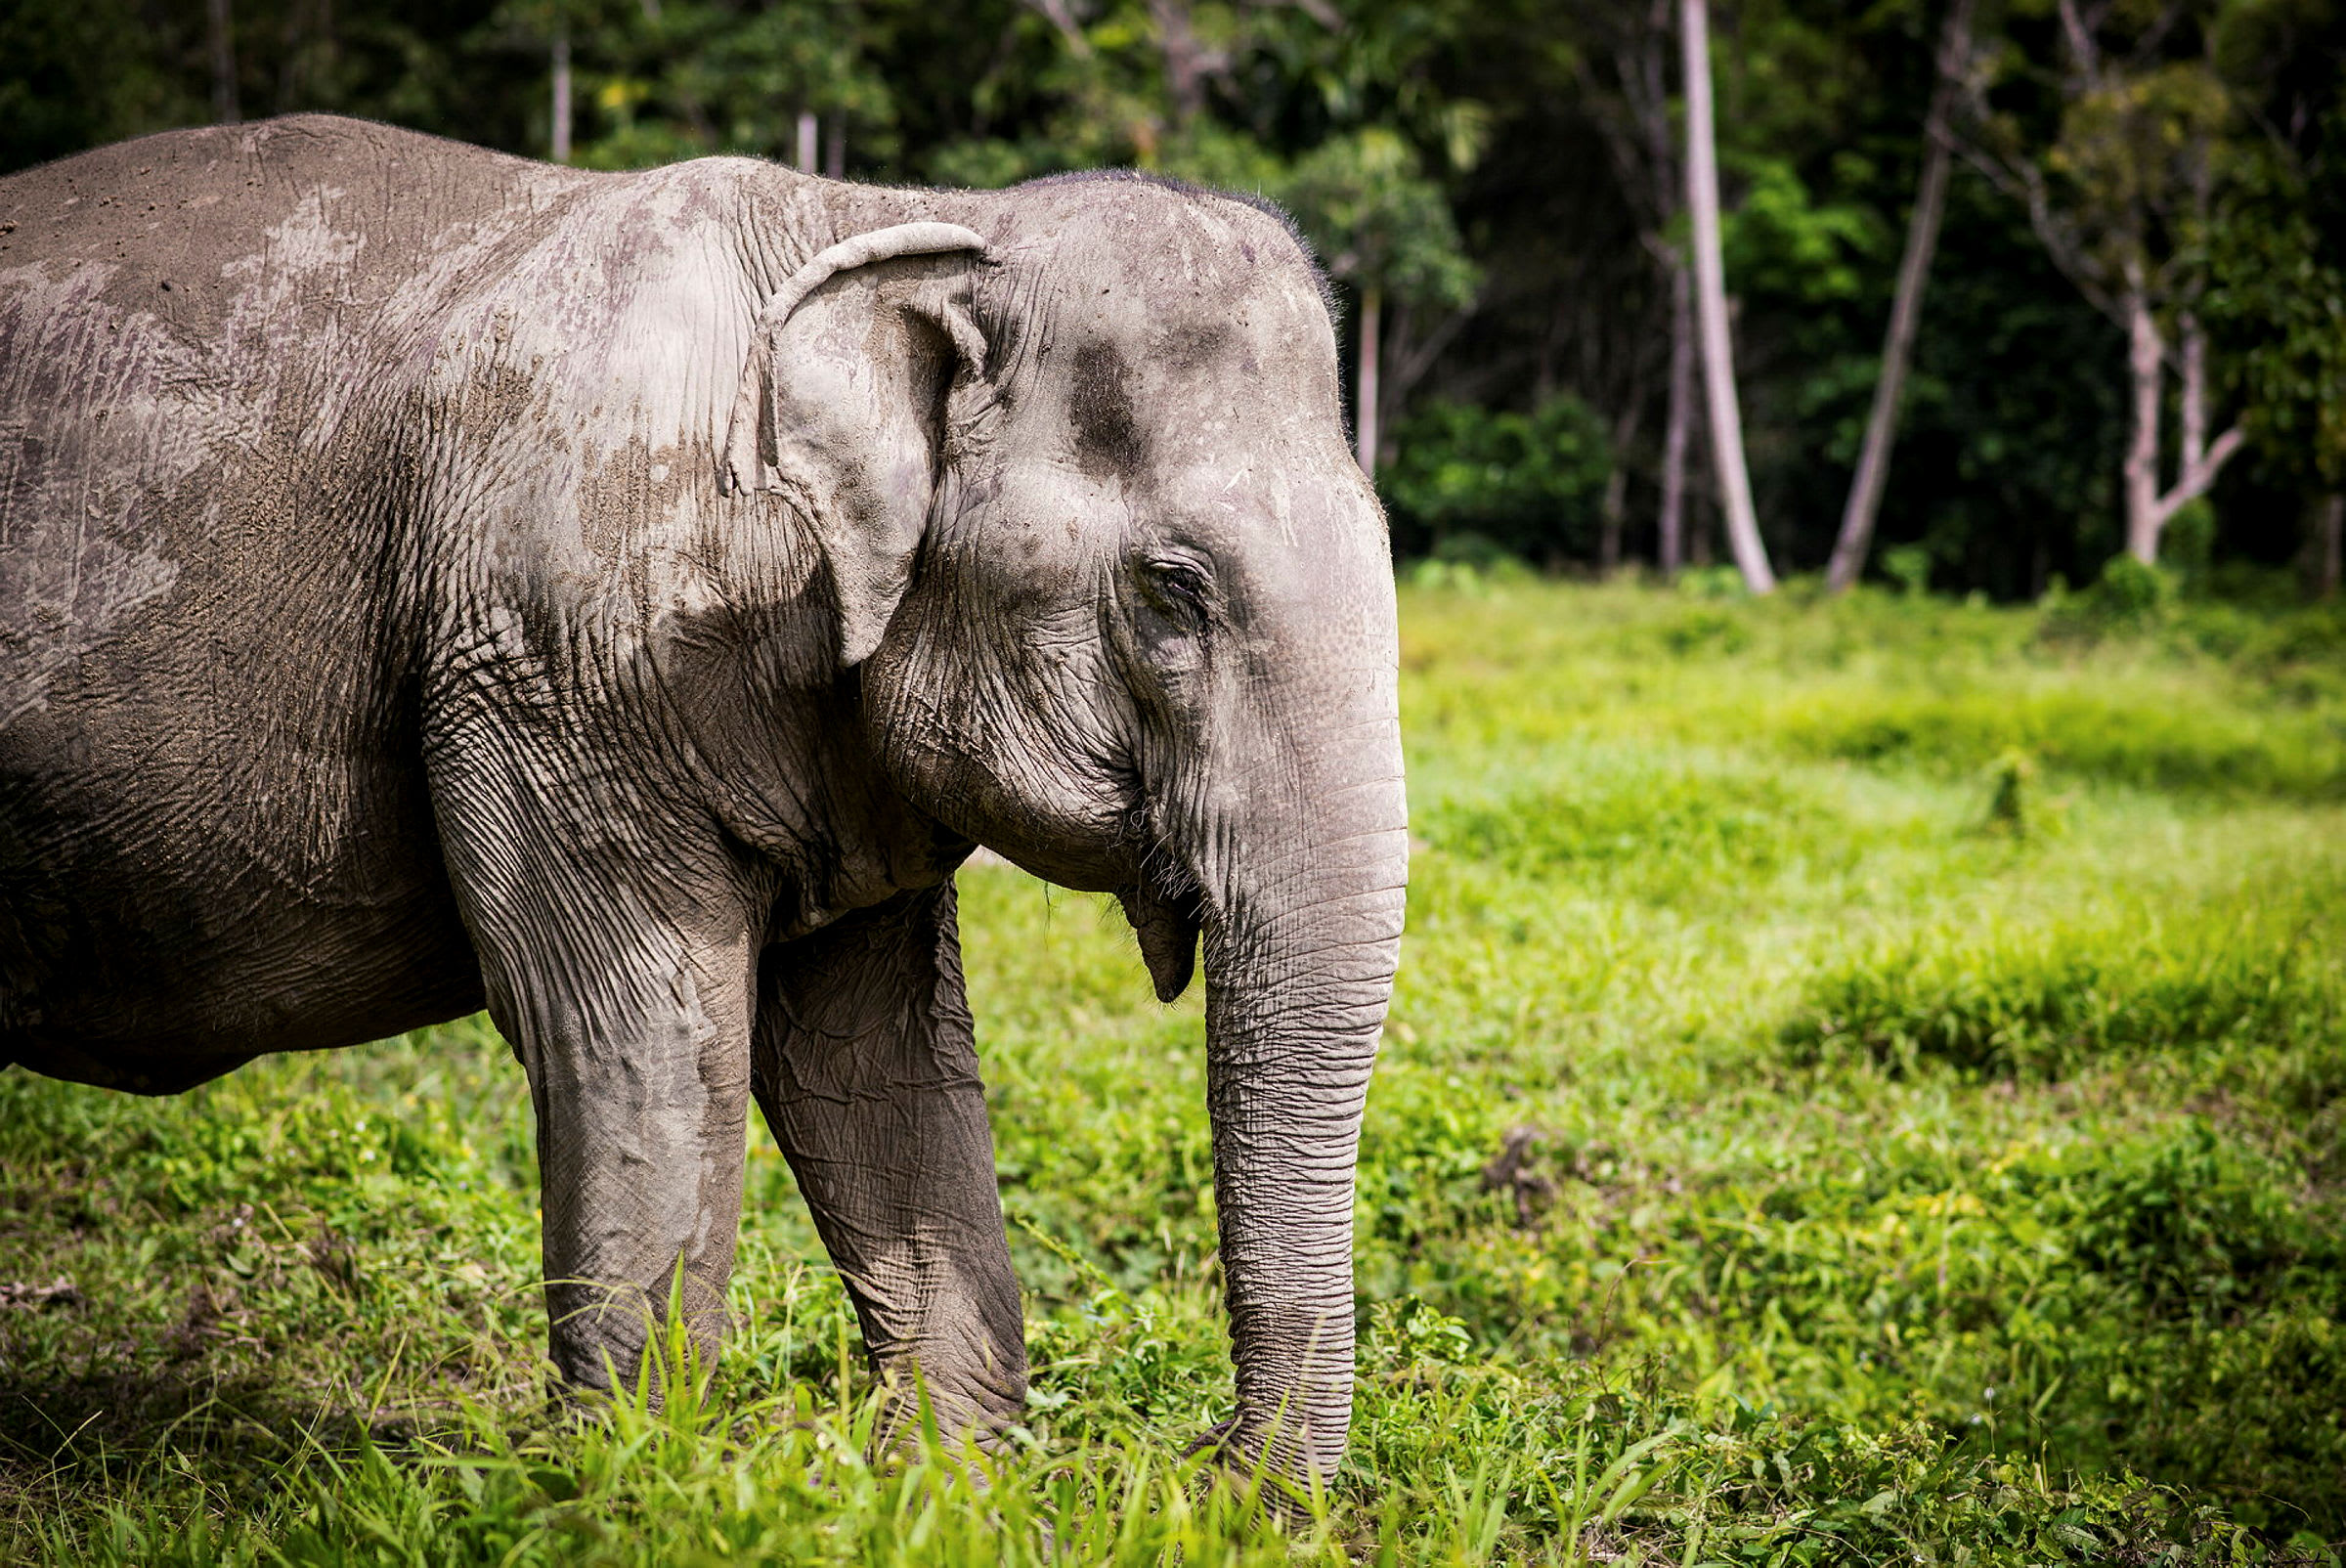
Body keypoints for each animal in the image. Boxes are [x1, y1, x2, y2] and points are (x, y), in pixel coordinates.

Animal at [0, 115, 1407, 1488]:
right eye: (1175, 589)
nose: (1201, 1461)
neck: (903, 219)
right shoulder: (562, 664)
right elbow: (639, 1032)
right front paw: (632, 1490)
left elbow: (875, 1061)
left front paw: (944, 1492)